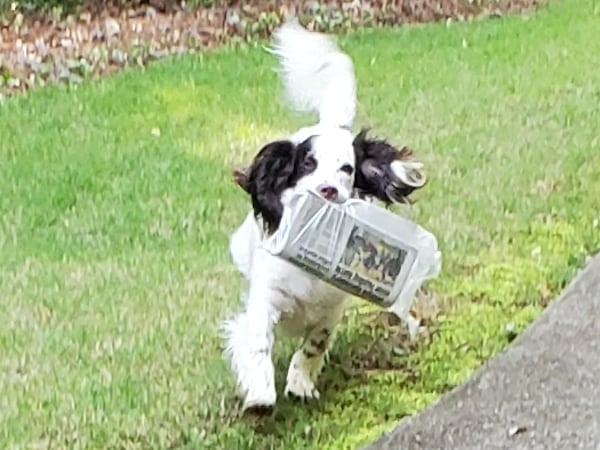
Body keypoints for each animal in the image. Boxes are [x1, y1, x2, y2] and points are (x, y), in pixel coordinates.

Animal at [224, 22, 426, 414]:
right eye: (307, 163)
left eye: (347, 169)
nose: (328, 190)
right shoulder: (267, 296)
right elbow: (257, 340)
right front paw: (260, 394)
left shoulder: (332, 308)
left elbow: (314, 344)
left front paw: (300, 383)